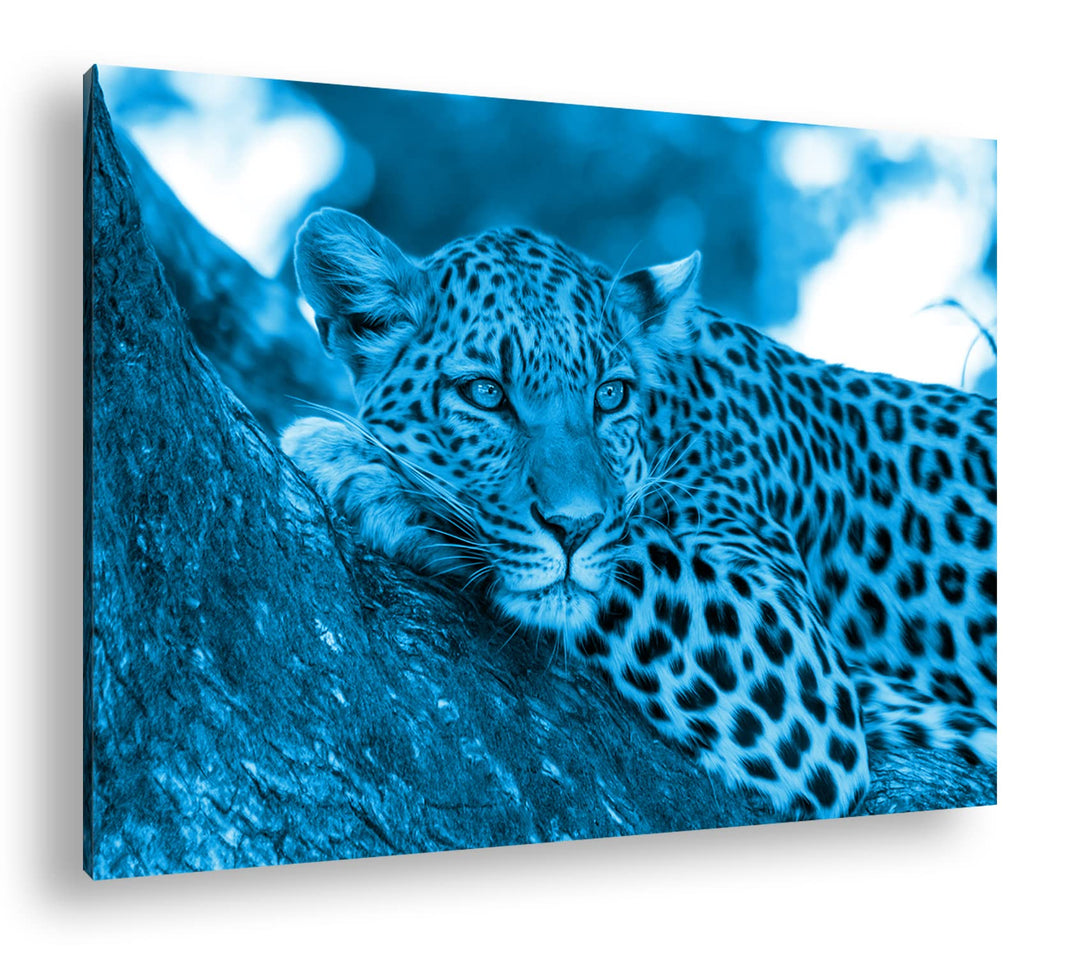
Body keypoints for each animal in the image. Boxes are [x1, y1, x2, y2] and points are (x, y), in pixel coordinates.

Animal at [281, 207, 997, 820]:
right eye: (485, 393)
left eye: (610, 395)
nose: (573, 528)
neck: (677, 405)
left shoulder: (801, 668)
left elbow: (636, 553)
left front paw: (364, 467)